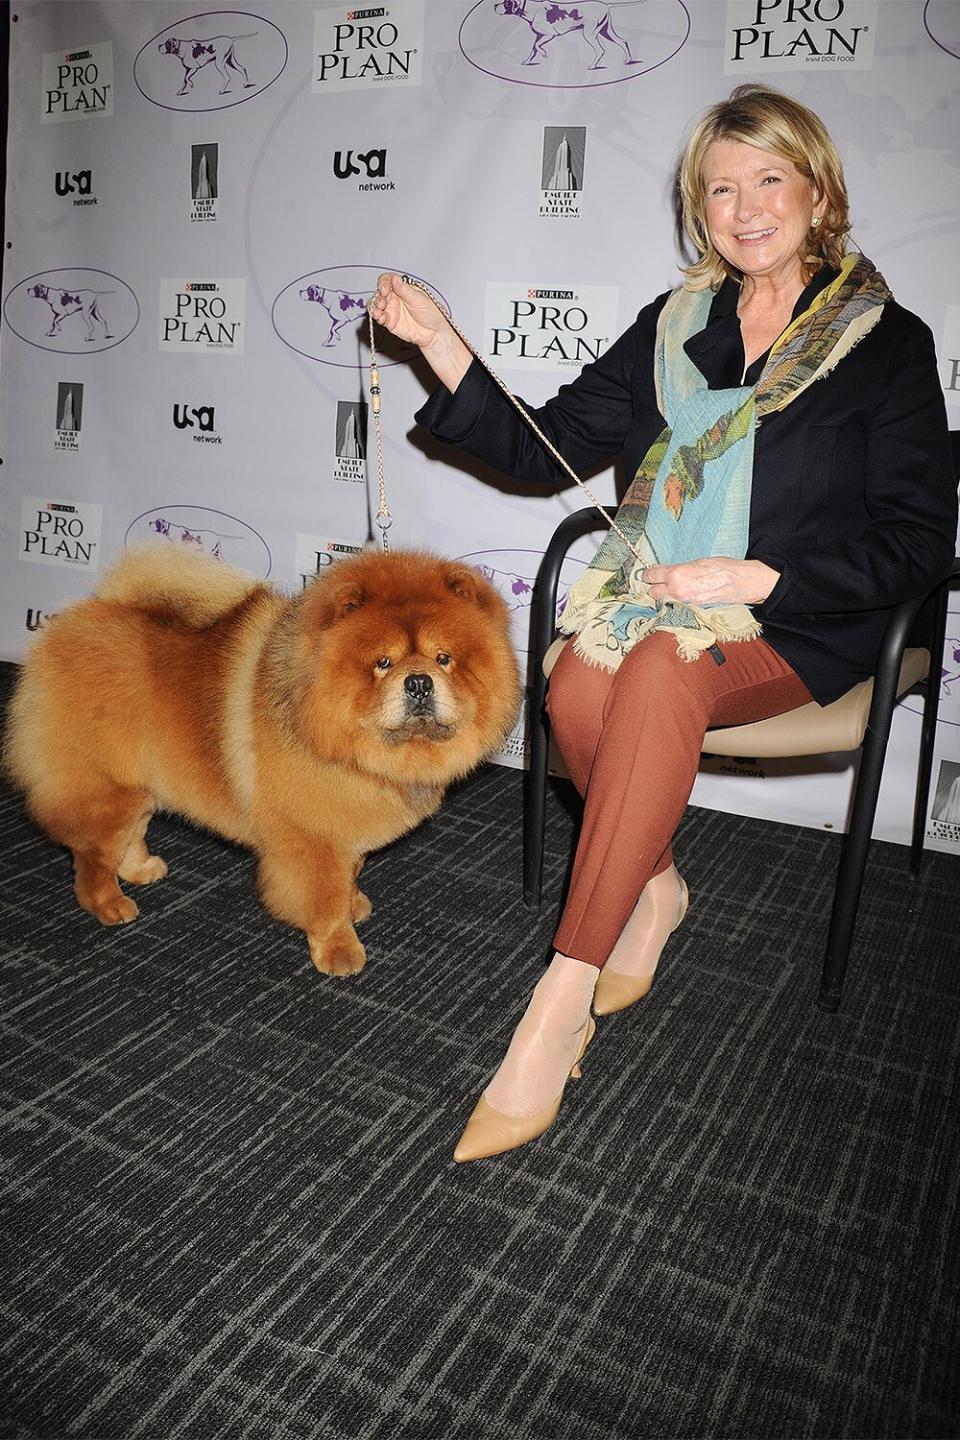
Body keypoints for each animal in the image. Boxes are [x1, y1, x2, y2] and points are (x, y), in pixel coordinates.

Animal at [3, 544, 521, 973]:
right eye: (383, 663)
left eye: (444, 658)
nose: (418, 682)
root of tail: (76, 618)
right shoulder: (311, 838)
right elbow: (324, 899)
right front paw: (339, 950)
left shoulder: (345, 832)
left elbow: (350, 876)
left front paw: (355, 903)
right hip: (108, 785)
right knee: (91, 855)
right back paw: (111, 905)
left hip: (142, 783)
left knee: (129, 833)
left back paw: (142, 869)